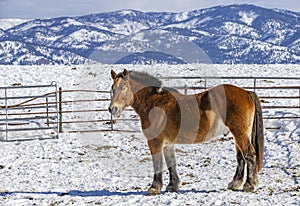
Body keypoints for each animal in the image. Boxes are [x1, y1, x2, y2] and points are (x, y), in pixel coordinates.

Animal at [109, 69, 264, 195]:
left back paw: (250, 185)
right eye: (112, 89)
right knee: (241, 157)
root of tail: (247, 92)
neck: (155, 103)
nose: (113, 109)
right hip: (238, 135)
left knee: (249, 154)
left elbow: (157, 163)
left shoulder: (155, 142)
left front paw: (154, 188)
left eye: (124, 88)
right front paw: (172, 186)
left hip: (240, 134)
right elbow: (171, 162)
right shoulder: (167, 143)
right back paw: (235, 184)